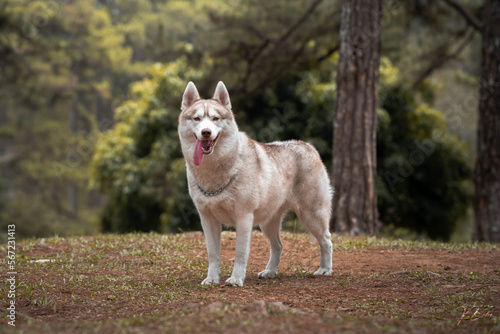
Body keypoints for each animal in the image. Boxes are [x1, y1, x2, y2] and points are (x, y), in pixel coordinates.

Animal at [178, 81, 334, 288]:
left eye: (215, 118)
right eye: (197, 118)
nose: (206, 132)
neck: (214, 171)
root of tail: (308, 146)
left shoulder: (244, 219)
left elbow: (240, 253)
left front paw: (236, 279)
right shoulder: (208, 220)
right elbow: (213, 254)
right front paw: (212, 279)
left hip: (312, 216)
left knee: (327, 241)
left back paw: (325, 270)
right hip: (267, 224)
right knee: (278, 246)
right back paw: (269, 272)